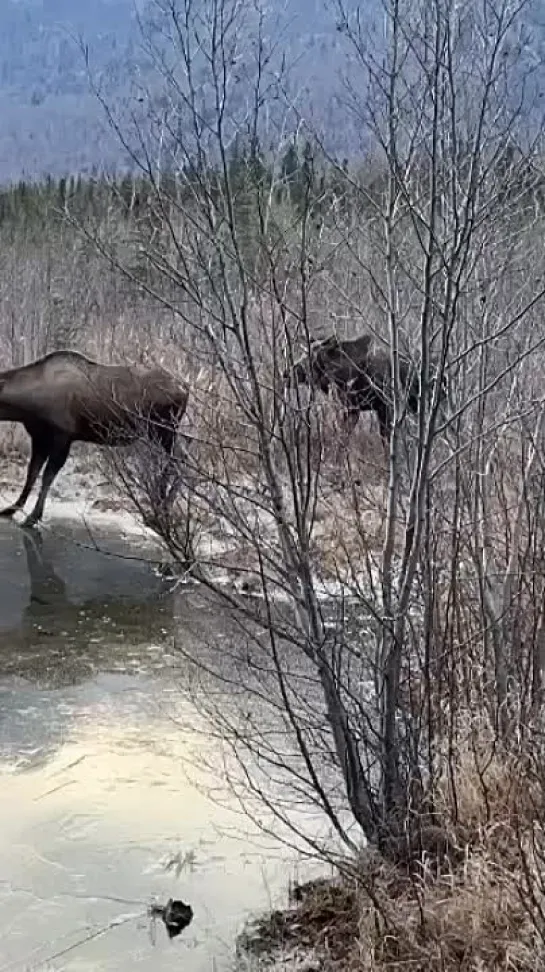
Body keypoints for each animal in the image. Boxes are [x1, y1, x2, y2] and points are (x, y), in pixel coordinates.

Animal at [0, 350, 189, 528]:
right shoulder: (39, 438)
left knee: (178, 460)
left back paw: (162, 508)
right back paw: (160, 505)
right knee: (178, 459)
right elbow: (31, 473)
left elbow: (47, 476)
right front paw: (11, 509)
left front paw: (33, 516)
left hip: (163, 430)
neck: (27, 407)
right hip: (163, 433)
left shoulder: (63, 436)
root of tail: (185, 389)